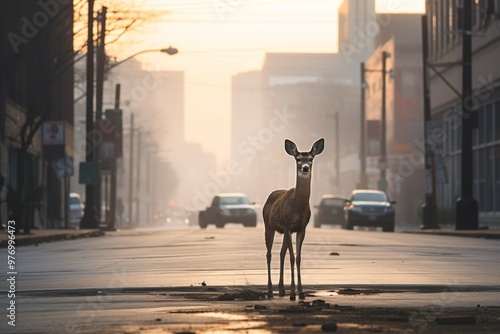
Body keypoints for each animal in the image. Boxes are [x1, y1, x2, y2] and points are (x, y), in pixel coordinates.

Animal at [262, 138, 324, 300]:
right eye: (298, 159)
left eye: (311, 158)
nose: (305, 168)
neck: (298, 208)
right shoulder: (288, 225)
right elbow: (291, 256)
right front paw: (292, 293)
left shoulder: (301, 228)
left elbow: (298, 257)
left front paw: (300, 292)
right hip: (268, 226)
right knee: (269, 254)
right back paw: (270, 290)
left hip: (282, 230)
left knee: (281, 253)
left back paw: (281, 289)